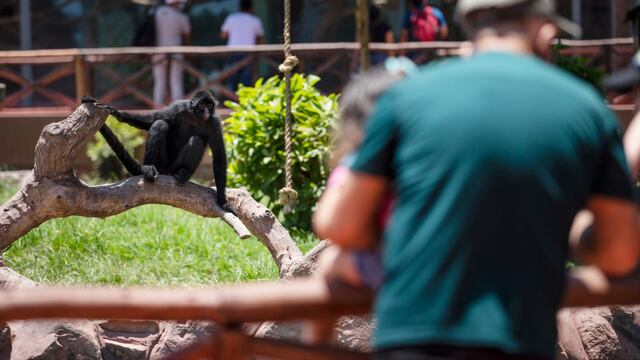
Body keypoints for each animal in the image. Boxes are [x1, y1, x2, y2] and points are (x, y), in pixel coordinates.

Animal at [81, 90, 229, 211]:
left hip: (172, 168)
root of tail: (165, 171)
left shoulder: (214, 122)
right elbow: (154, 119)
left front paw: (223, 202)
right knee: (160, 124)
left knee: (196, 140)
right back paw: (148, 168)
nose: (207, 112)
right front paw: (118, 114)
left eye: (210, 106)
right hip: (161, 163)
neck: (195, 118)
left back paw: (183, 173)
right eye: (203, 106)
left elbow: (219, 156)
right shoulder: (178, 107)